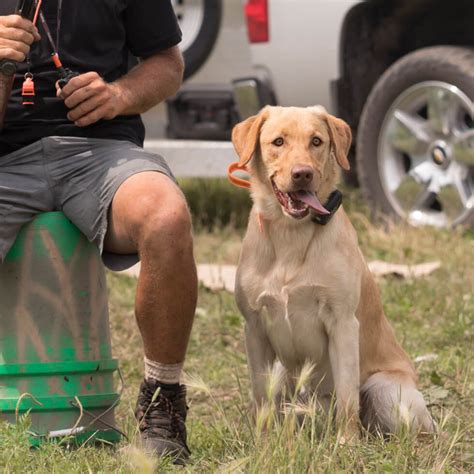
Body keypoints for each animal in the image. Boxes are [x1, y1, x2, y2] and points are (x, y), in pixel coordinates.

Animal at [231, 105, 436, 436]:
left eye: (316, 141)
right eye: (278, 142)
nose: (303, 174)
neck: (291, 235)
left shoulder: (342, 323)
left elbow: (347, 398)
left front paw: (346, 442)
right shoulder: (255, 327)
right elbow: (261, 396)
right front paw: (263, 439)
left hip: (386, 391)